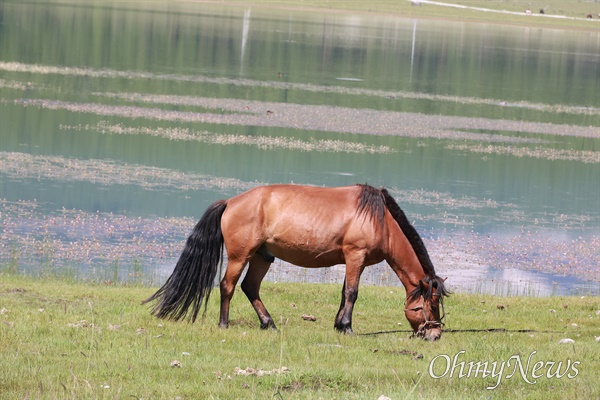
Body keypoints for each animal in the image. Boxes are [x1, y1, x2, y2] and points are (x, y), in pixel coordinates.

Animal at [143, 184, 448, 340]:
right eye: (431, 305)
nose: (434, 334)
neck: (380, 220)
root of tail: (231, 202)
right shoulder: (355, 256)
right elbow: (352, 293)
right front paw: (347, 327)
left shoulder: (350, 261)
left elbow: (343, 293)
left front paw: (338, 324)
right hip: (241, 256)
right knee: (227, 285)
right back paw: (224, 324)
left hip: (262, 257)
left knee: (250, 288)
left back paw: (268, 323)